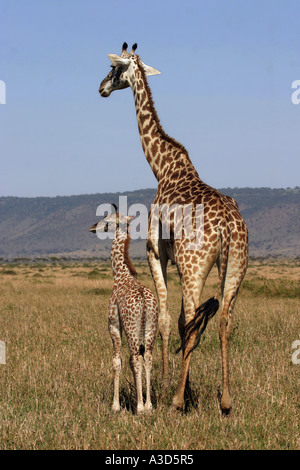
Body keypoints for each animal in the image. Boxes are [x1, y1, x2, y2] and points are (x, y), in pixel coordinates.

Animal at [89, 209, 158, 414]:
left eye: (107, 219)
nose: (93, 227)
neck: (120, 274)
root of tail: (145, 301)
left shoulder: (114, 325)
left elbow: (117, 362)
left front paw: (116, 405)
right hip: (151, 328)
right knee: (148, 358)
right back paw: (148, 405)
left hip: (131, 328)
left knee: (136, 359)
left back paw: (140, 407)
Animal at [98, 43, 248, 412]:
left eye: (114, 69)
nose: (102, 88)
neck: (162, 166)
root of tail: (228, 228)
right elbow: (180, 321)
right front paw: (186, 386)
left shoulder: (156, 252)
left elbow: (168, 319)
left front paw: (169, 384)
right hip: (236, 266)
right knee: (224, 321)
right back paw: (225, 401)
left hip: (196, 267)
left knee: (195, 321)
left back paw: (178, 400)